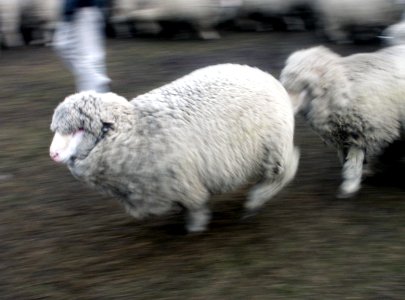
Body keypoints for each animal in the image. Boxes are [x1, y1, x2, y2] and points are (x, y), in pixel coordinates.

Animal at [49, 63, 298, 232]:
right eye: (56, 130)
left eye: (79, 129)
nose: (53, 154)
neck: (137, 131)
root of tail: (266, 76)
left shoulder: (184, 182)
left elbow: (196, 208)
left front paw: (195, 229)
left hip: (273, 150)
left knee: (285, 171)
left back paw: (254, 202)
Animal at [280, 45, 404, 198]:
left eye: (305, 85)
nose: (286, 107)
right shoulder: (345, 136)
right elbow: (348, 160)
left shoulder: (360, 134)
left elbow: (353, 163)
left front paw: (349, 186)